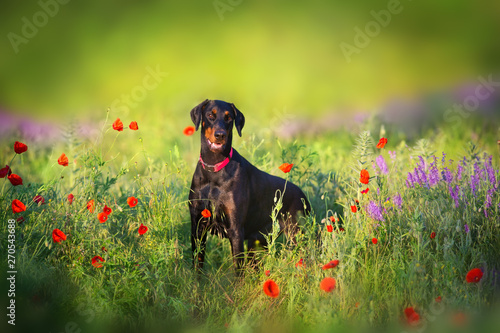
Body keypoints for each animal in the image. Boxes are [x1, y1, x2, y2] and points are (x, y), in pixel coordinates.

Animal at [189, 98, 310, 272]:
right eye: (210, 115)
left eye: (229, 118)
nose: (220, 135)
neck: (214, 170)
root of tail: (303, 195)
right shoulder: (197, 226)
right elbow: (197, 264)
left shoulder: (235, 230)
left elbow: (238, 269)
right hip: (258, 241)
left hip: (298, 234)